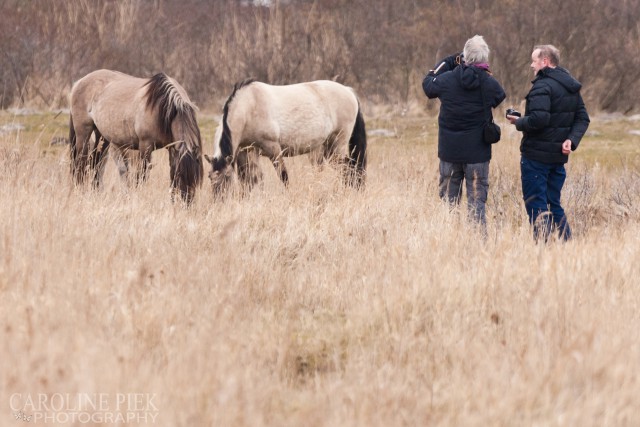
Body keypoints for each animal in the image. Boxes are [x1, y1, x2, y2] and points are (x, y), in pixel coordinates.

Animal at [68, 68, 202, 204]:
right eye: (182, 176)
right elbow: (141, 176)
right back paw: (81, 192)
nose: (186, 203)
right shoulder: (145, 147)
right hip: (83, 133)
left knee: (97, 164)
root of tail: (79, 82)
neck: (164, 109)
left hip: (102, 137)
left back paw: (97, 194)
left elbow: (171, 174)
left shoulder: (172, 148)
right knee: (80, 163)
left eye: (196, 179)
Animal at [204, 79, 364, 196]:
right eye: (209, 177)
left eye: (227, 176)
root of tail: (349, 91)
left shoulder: (273, 149)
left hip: (337, 145)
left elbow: (283, 176)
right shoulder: (246, 151)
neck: (249, 107)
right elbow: (250, 180)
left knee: (348, 168)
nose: (220, 200)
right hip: (325, 149)